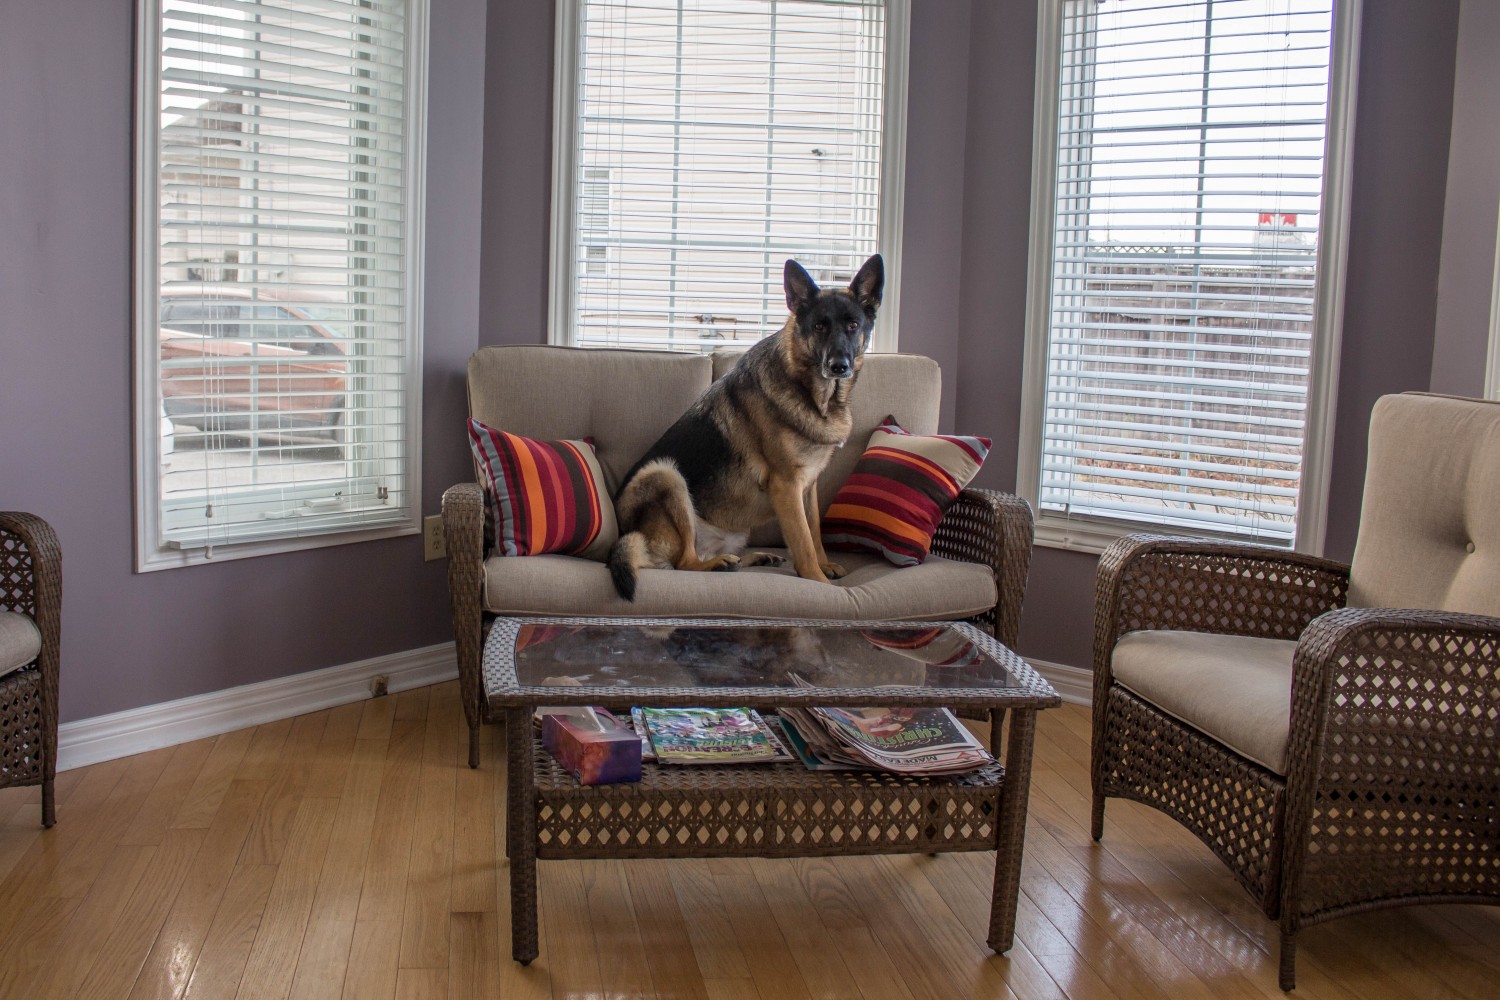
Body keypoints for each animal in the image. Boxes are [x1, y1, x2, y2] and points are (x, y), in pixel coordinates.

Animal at [606, 257, 882, 602]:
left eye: (853, 325)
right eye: (819, 326)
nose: (838, 366)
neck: (813, 394)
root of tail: (632, 537)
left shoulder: (809, 486)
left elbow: (815, 530)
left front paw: (825, 564)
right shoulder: (787, 486)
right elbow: (803, 542)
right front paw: (820, 582)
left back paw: (750, 558)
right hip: (664, 474)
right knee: (685, 562)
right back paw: (718, 564)